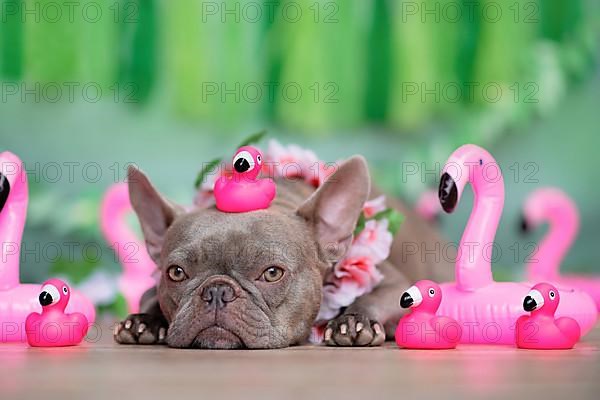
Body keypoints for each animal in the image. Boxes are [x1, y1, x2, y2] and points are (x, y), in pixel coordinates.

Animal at [112, 155, 452, 348]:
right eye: (176, 273)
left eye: (272, 273)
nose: (217, 291)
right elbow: (149, 298)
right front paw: (144, 321)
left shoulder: (393, 283)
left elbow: (375, 297)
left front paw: (355, 322)